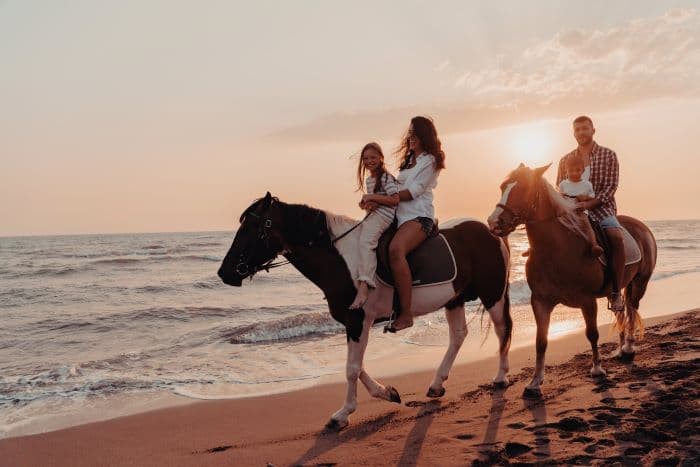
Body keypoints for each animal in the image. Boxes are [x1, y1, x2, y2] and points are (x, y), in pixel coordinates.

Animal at [220, 194, 516, 432]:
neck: (342, 261)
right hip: (454, 298)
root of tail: (491, 231)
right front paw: (388, 393)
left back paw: (500, 377)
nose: (224, 273)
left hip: (492, 294)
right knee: (458, 335)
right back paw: (436, 384)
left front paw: (342, 415)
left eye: (251, 228)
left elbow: (351, 368)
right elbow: (356, 365)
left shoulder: (358, 320)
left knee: (502, 329)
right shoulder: (354, 323)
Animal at [486, 165, 656, 398]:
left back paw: (629, 348)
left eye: (523, 189)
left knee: (631, 310)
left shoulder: (587, 300)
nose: (493, 222)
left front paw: (597, 369)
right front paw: (535, 382)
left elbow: (592, 334)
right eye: (503, 187)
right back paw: (621, 349)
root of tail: (643, 228)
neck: (558, 249)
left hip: (640, 283)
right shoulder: (540, 302)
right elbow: (541, 341)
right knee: (622, 312)